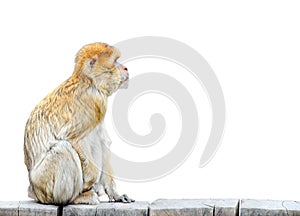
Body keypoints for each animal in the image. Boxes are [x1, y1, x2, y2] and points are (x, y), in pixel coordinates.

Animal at [24, 42, 134, 206]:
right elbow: (73, 138)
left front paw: (115, 194)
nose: (125, 68)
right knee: (62, 148)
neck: (89, 81)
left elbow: (103, 142)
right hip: (44, 182)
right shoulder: (93, 101)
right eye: (115, 61)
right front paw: (90, 183)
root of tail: (34, 191)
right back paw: (74, 198)